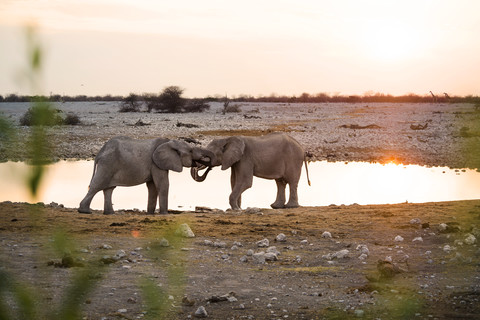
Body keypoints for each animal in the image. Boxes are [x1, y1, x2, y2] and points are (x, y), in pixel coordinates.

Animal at [78, 136, 213, 215]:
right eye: (190, 151)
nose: (210, 167)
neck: (169, 142)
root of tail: (99, 153)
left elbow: (152, 186)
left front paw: (150, 214)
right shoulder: (156, 163)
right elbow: (162, 184)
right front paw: (164, 214)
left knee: (108, 189)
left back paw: (110, 213)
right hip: (107, 164)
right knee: (97, 185)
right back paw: (84, 211)